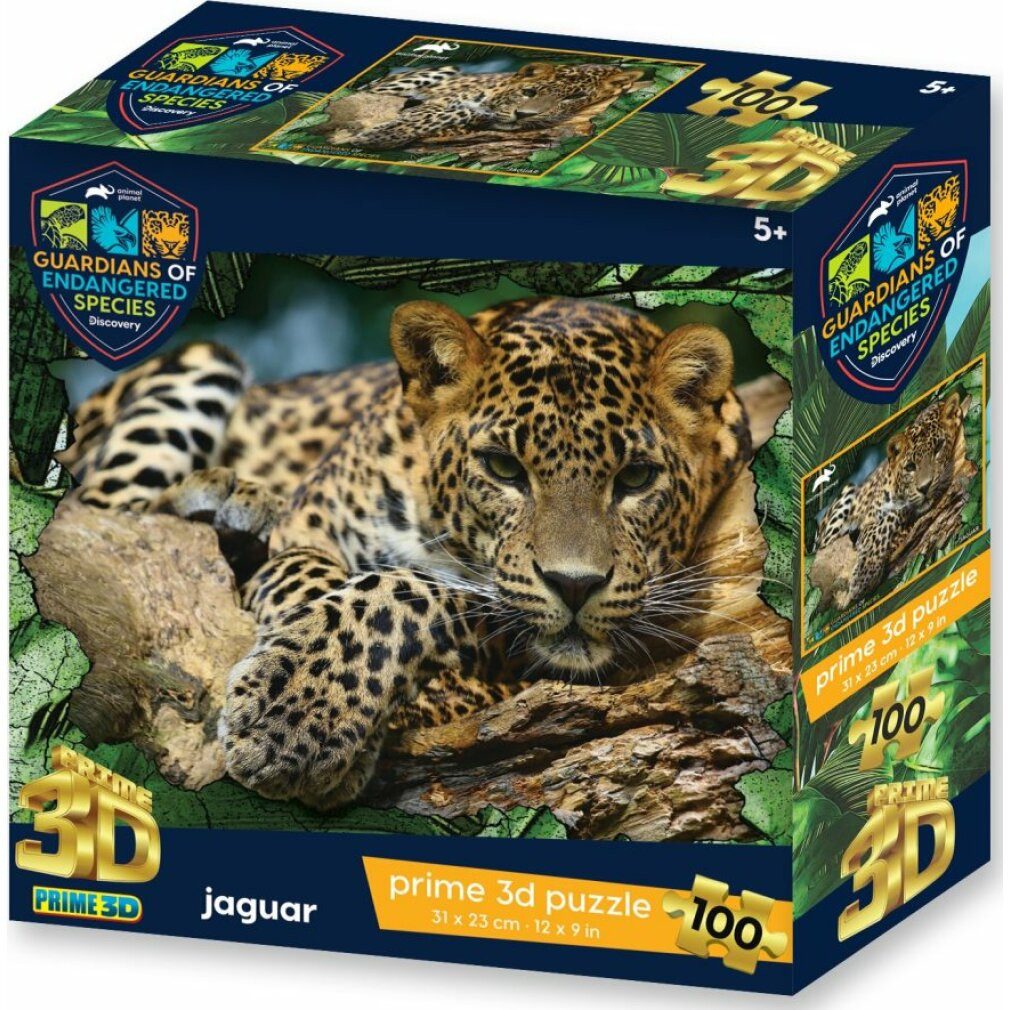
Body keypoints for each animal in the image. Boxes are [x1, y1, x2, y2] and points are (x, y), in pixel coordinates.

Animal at [58, 297, 752, 810]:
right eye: (503, 468)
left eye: (635, 478)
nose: (576, 584)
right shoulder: (308, 528)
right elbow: (323, 587)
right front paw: (297, 710)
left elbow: (407, 593)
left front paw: (308, 717)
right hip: (202, 366)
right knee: (100, 510)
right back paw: (223, 498)